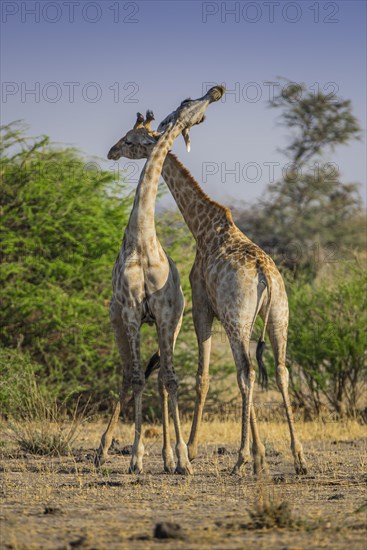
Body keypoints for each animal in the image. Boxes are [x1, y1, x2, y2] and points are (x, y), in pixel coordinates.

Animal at [95, 85, 224, 474]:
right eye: (190, 105)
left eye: (128, 138)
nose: (216, 91)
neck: (142, 240)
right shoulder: (131, 312)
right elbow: (139, 378)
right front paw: (136, 456)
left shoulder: (167, 315)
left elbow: (169, 380)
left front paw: (181, 458)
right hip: (119, 323)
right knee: (129, 375)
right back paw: (103, 450)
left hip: (172, 325)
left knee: (159, 380)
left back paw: (167, 457)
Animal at [108, 103, 310, 478]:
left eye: (129, 140)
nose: (111, 151)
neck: (202, 227)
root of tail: (266, 275)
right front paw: (260, 456)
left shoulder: (202, 306)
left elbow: (202, 376)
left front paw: (192, 449)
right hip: (278, 317)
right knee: (280, 371)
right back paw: (299, 457)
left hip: (237, 320)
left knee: (247, 372)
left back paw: (240, 458)